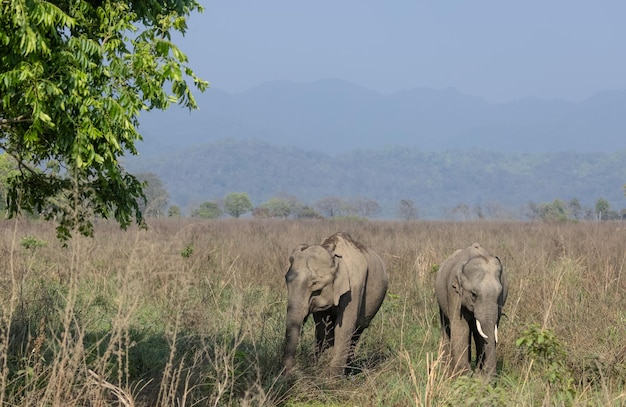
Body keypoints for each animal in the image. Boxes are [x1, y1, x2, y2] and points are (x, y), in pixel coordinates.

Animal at [282, 233, 386, 376]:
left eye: (314, 284)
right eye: (286, 279)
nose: (291, 372)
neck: (332, 252)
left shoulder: (354, 288)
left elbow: (343, 328)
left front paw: (332, 377)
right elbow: (324, 328)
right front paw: (321, 368)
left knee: (357, 331)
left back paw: (348, 370)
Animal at [434, 242, 508, 380]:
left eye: (499, 294)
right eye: (473, 294)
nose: (490, 379)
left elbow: (484, 332)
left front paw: (479, 376)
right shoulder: (454, 293)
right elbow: (460, 327)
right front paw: (462, 376)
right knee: (446, 326)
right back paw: (446, 369)